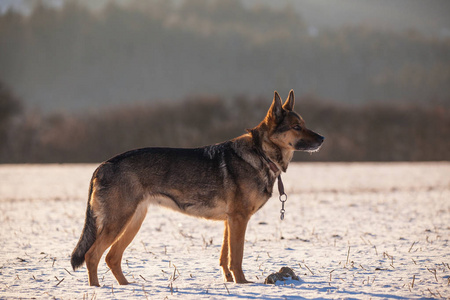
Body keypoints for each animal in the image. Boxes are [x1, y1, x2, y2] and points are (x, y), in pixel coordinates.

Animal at [70, 89, 324, 286]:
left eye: (304, 125)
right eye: (297, 127)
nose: (322, 138)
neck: (261, 153)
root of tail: (102, 165)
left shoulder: (229, 221)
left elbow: (225, 258)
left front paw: (231, 283)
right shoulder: (239, 219)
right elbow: (237, 257)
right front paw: (243, 284)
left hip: (132, 222)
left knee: (112, 257)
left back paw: (127, 287)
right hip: (119, 222)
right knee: (93, 255)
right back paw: (98, 289)